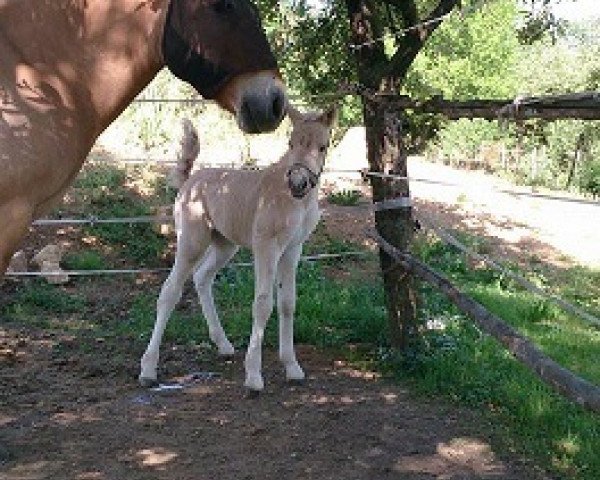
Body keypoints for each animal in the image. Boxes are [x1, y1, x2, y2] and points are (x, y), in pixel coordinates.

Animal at [141, 105, 338, 390]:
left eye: (322, 147)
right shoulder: (266, 247)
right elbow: (263, 304)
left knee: (202, 277)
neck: (296, 201)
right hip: (192, 241)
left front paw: (292, 367)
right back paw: (148, 368)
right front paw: (254, 376)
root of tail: (191, 180)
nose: (298, 183)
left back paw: (223, 345)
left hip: (225, 244)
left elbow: (288, 302)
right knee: (170, 291)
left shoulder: (292, 250)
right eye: (290, 144)